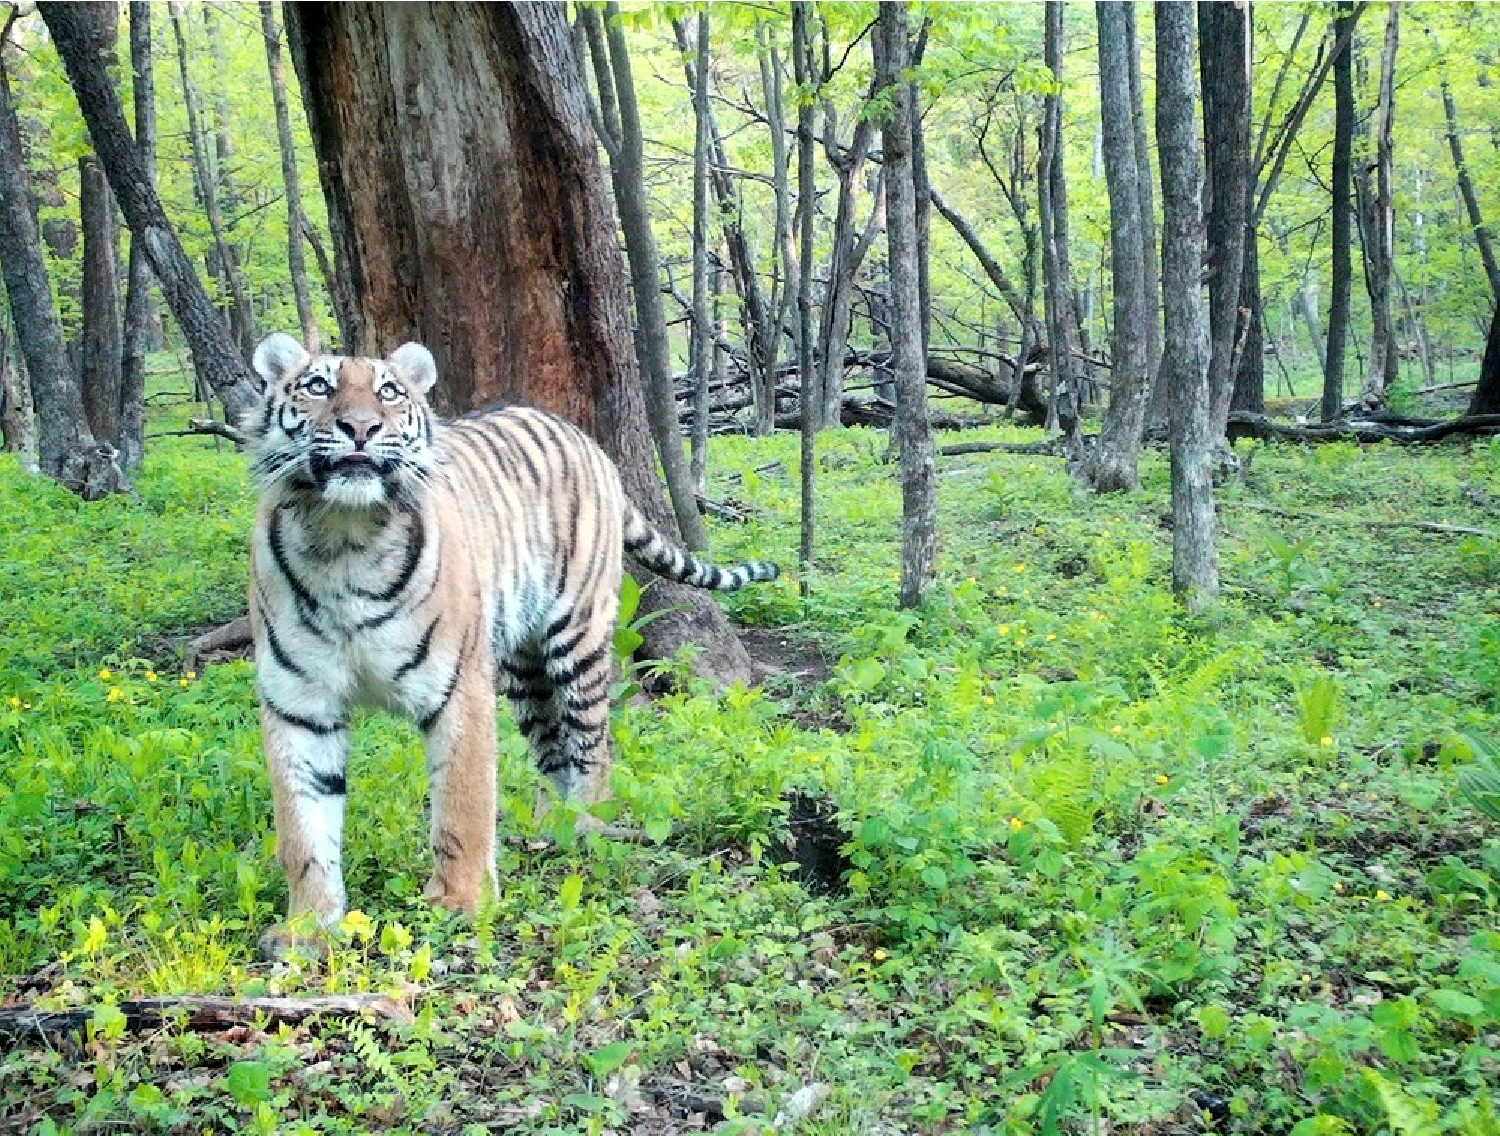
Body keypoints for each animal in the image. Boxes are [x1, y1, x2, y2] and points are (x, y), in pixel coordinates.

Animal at [243, 332, 778, 956]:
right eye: (317, 386)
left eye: (390, 392)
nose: (360, 427)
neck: (344, 540)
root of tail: (584, 437)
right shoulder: (299, 704)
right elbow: (303, 830)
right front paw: (308, 927)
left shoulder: (458, 689)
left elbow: (463, 804)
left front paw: (461, 902)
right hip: (523, 667)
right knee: (551, 751)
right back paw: (544, 826)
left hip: (578, 637)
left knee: (594, 743)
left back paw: (584, 827)